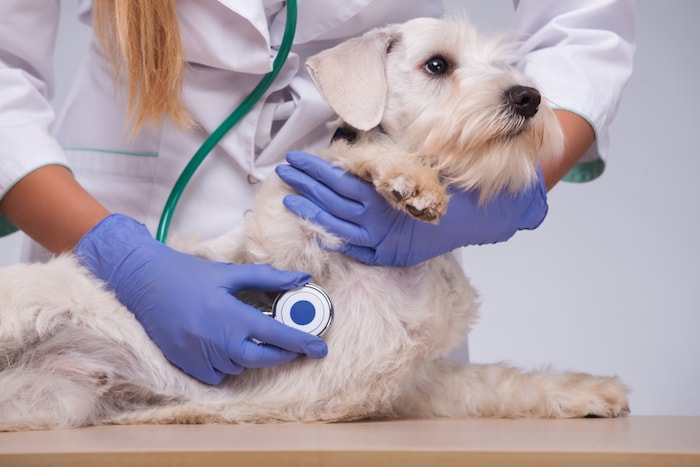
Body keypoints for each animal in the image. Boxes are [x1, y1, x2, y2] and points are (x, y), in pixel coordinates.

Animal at [0, 17, 628, 432]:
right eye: (437, 65)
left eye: (505, 64)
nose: (528, 97)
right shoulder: (274, 240)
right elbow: (345, 156)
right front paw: (410, 179)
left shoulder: (418, 382)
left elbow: (499, 382)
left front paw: (590, 390)